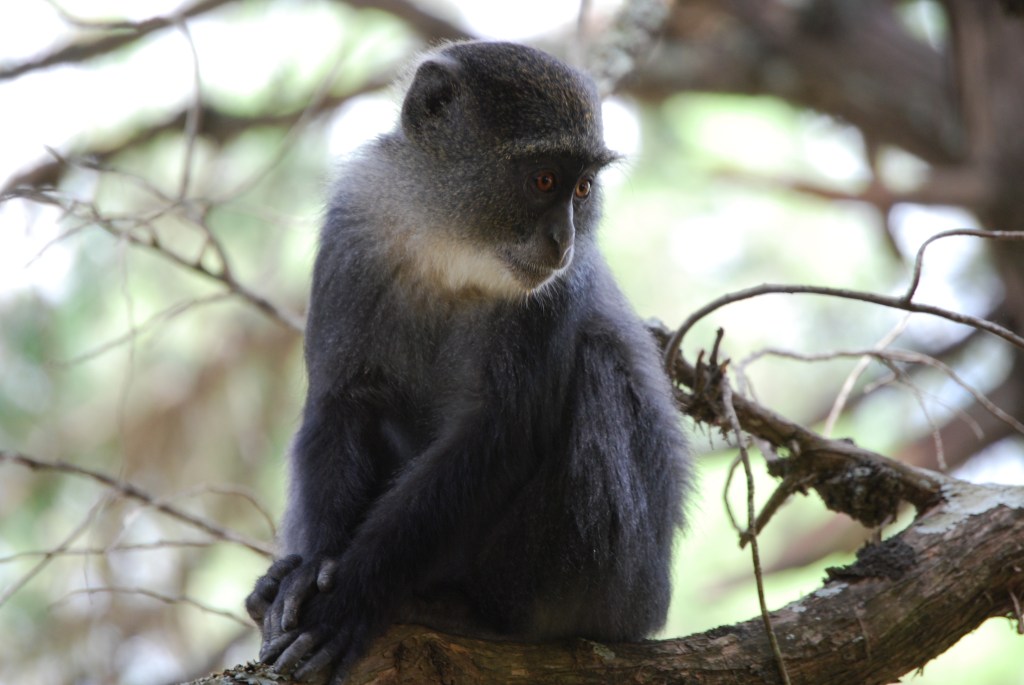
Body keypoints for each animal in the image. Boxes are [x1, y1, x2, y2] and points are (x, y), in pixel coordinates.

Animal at [245, 40, 690, 684]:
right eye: (544, 179)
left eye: (583, 190)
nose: (563, 240)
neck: (450, 245)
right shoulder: (355, 221)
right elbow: (341, 401)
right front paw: (306, 574)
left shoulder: (554, 293)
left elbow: (498, 434)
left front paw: (351, 596)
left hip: (615, 587)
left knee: (596, 365)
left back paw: (478, 613)